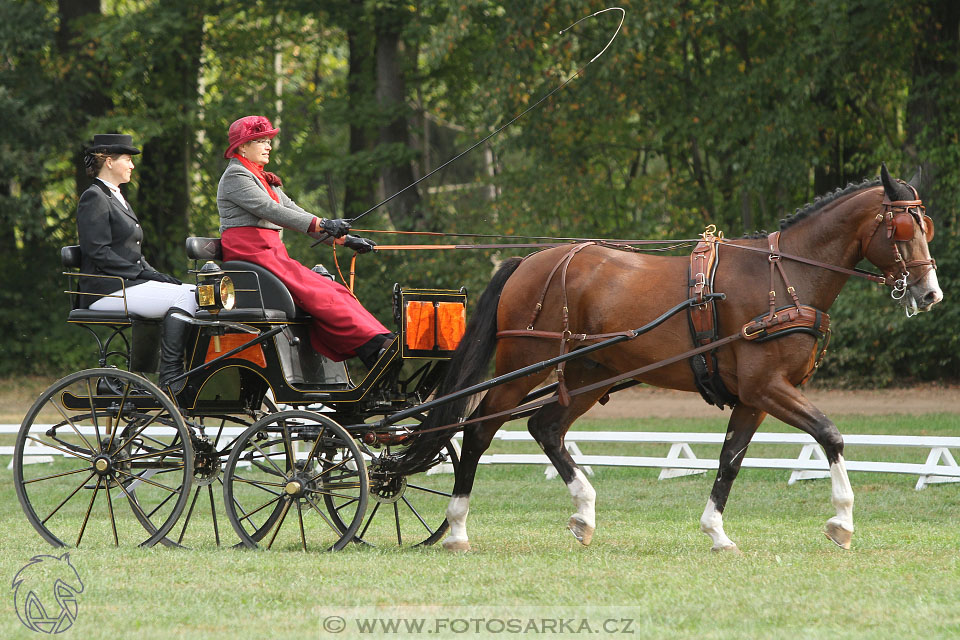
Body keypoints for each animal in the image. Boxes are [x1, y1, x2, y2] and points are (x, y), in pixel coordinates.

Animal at [394, 164, 940, 552]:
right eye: (901, 228)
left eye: (926, 226)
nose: (930, 292)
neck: (783, 278)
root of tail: (530, 260)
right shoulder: (768, 387)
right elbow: (830, 435)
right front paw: (842, 521)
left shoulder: (754, 398)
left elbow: (730, 459)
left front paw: (717, 532)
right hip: (520, 365)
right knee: (478, 431)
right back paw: (457, 528)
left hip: (591, 373)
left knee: (544, 427)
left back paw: (584, 513)